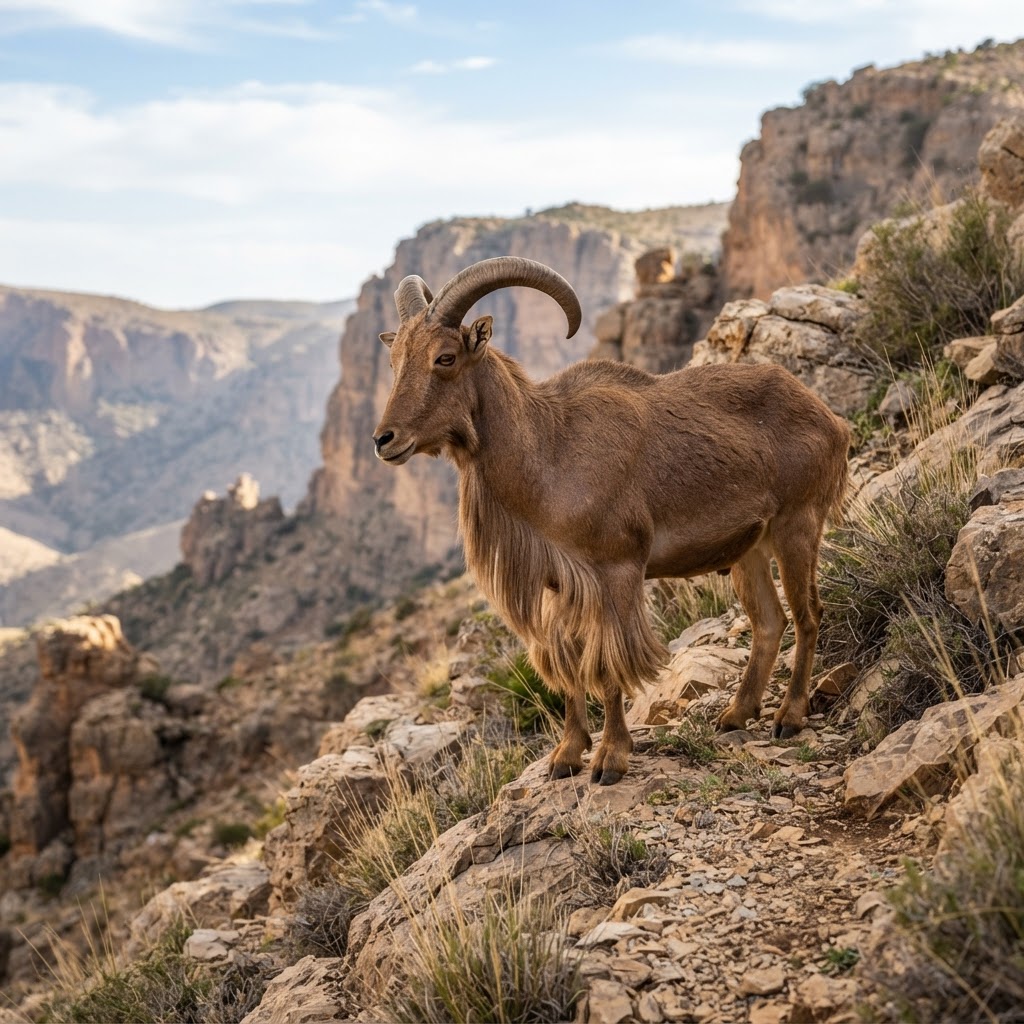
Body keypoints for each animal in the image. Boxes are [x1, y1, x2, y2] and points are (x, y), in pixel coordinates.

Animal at [372, 257, 850, 785]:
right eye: (395, 361)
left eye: (445, 358)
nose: (384, 439)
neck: (548, 448)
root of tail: (829, 417)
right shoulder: (559, 586)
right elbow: (568, 665)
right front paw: (565, 756)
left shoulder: (616, 571)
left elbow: (608, 665)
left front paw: (610, 760)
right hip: (750, 549)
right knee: (769, 621)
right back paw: (736, 715)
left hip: (797, 526)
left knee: (808, 616)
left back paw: (789, 716)